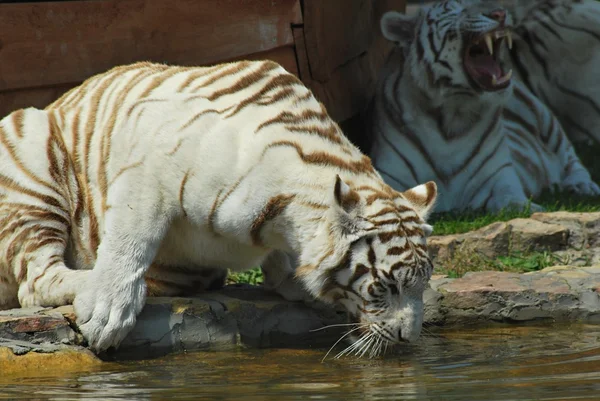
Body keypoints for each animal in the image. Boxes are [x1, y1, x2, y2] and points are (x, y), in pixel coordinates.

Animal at [0, 58, 436, 354]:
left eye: (422, 286)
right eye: (385, 287)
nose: (408, 338)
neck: (281, 226)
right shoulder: (149, 168)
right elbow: (130, 239)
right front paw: (107, 312)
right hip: (32, 162)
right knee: (34, 282)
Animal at [368, 0, 596, 212]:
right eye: (456, 9)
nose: (500, 13)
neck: (452, 114)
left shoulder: (500, 178)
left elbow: (513, 200)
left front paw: (533, 210)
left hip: (547, 122)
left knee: (571, 157)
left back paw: (582, 186)